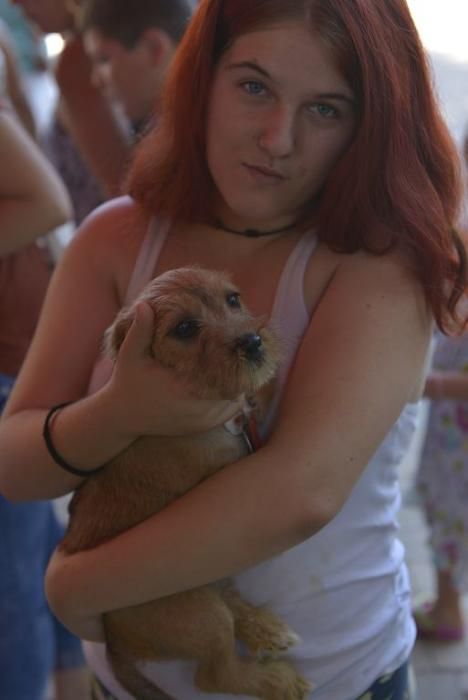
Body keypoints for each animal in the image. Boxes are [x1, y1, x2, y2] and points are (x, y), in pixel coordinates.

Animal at [61, 266, 310, 700]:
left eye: (233, 300)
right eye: (185, 328)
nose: (253, 341)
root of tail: (114, 642)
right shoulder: (235, 464)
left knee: (228, 598)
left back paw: (265, 629)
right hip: (200, 613)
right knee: (215, 674)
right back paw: (279, 679)